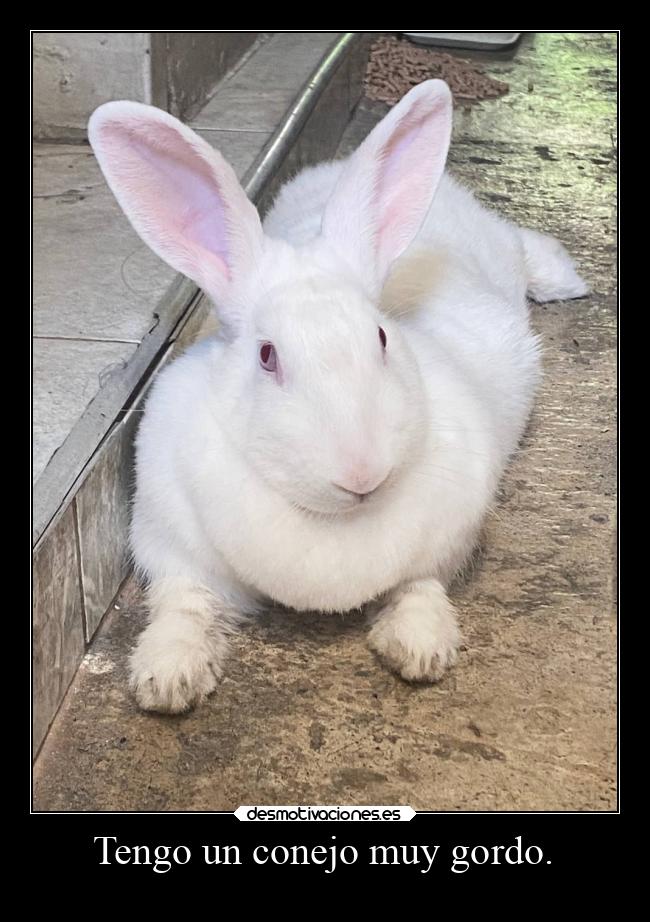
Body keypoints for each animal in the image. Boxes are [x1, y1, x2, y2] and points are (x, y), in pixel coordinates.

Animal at [88, 79, 588, 714]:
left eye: (381, 337)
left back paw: (565, 281)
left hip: (502, 249)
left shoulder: (446, 541)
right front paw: (166, 678)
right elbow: (184, 602)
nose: (362, 472)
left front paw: (420, 649)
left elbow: (421, 587)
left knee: (524, 245)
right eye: (267, 355)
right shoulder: (171, 542)